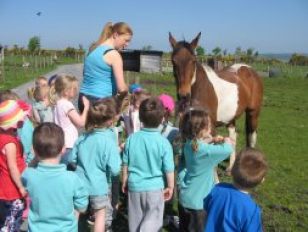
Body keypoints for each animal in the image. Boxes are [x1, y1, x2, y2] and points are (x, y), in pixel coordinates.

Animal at [170, 32, 264, 170]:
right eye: (173, 61)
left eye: (193, 60)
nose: (184, 95)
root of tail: (249, 70)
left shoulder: (211, 128)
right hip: (231, 118)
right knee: (233, 136)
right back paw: (230, 168)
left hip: (253, 112)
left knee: (252, 137)